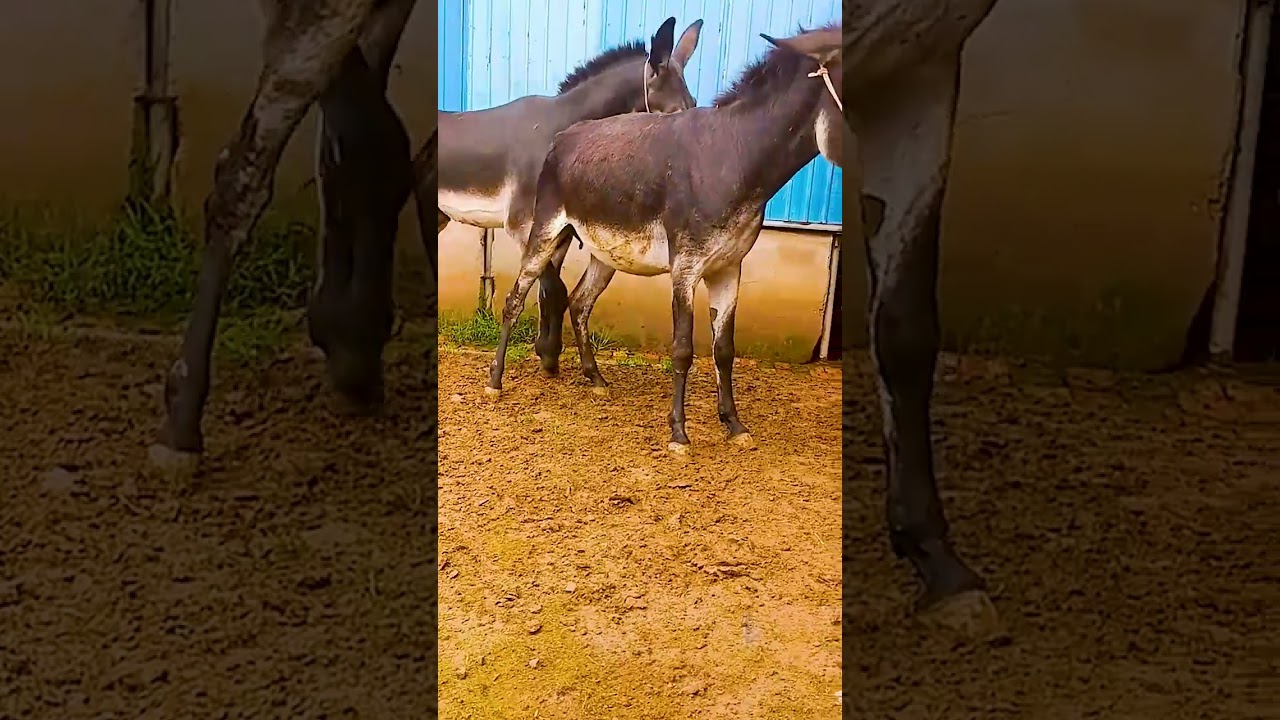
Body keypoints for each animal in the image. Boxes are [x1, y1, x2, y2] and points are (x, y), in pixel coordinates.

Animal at [436, 16, 703, 379]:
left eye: (694, 106)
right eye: (674, 114)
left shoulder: (559, 230)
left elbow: (549, 294)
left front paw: (548, 353)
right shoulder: (525, 227)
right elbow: (557, 290)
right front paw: (549, 355)